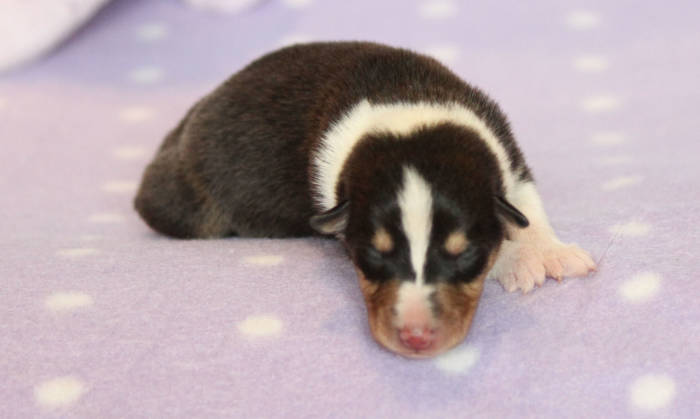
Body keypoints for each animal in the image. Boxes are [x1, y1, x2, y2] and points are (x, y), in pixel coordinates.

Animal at [134, 42, 596, 358]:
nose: (414, 336)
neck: (407, 110)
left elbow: (525, 208)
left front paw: (547, 252)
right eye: (373, 254)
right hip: (188, 202)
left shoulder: (508, 158)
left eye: (464, 254)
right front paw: (522, 260)